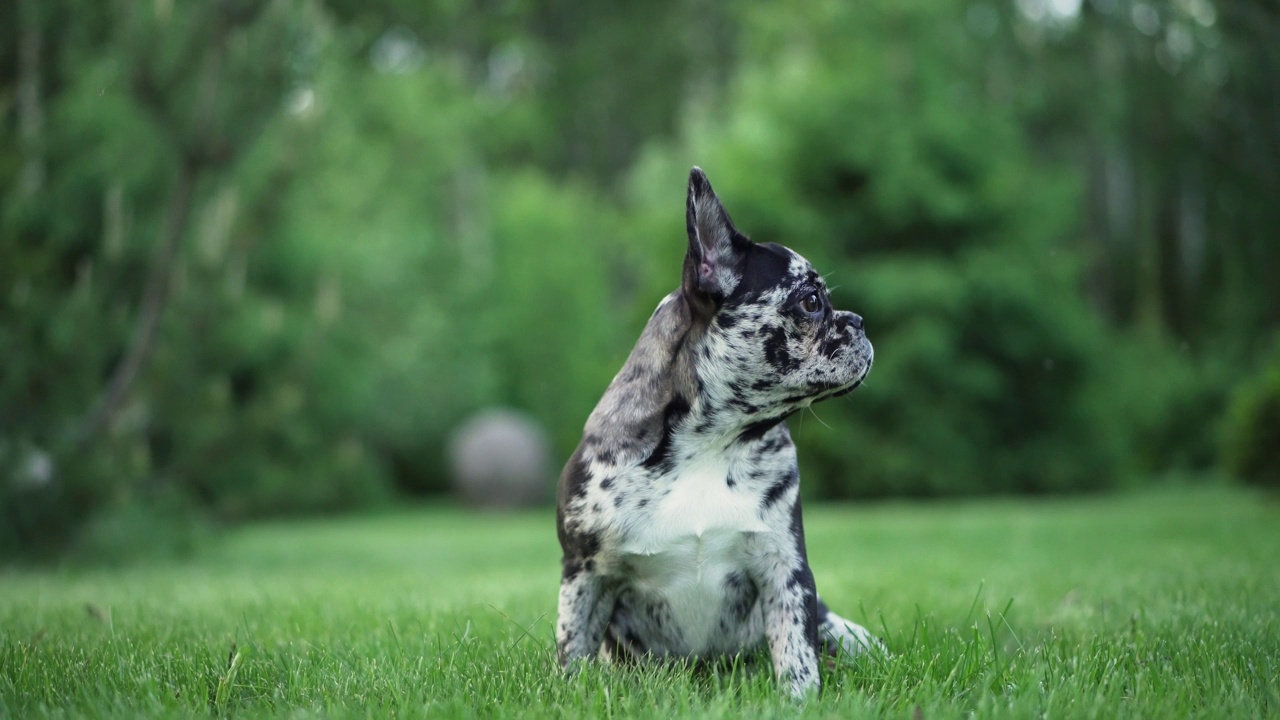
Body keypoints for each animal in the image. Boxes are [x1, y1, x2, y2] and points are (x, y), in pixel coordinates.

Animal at [555, 163, 885, 696]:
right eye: (812, 301)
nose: (857, 320)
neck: (712, 442)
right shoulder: (585, 573)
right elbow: (573, 646)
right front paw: (571, 692)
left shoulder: (785, 569)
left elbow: (796, 652)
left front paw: (801, 699)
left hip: (839, 627)